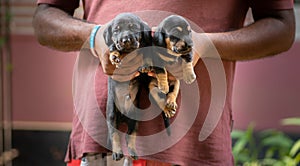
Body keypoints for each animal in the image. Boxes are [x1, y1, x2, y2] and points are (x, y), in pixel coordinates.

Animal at [103, 13, 152, 161]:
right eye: (116, 30)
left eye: (133, 27)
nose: (125, 40)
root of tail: (123, 118)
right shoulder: (113, 47)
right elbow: (113, 49)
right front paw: (115, 57)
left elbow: (146, 54)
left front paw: (146, 65)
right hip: (112, 115)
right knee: (114, 135)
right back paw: (117, 152)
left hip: (135, 119)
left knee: (129, 136)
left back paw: (133, 151)